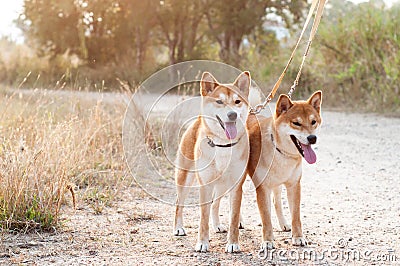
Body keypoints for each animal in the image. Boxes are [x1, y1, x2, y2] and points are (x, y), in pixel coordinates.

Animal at [174, 71, 252, 254]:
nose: (232, 114)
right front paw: (202, 243)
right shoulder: (205, 185)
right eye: (219, 101)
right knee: (179, 204)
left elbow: (233, 218)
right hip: (185, 179)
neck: (223, 146)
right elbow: (203, 218)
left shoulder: (236, 186)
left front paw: (233, 244)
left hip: (223, 186)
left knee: (215, 204)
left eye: (237, 102)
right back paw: (179, 228)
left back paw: (217, 225)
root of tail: (197, 121)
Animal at [245, 91, 324, 254]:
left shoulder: (294, 186)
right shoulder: (263, 188)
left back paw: (284, 224)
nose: (312, 138)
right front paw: (268, 241)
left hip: (277, 184)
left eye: (313, 122)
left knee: (277, 203)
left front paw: (298, 238)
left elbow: (296, 217)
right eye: (296, 123)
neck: (280, 151)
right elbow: (266, 219)